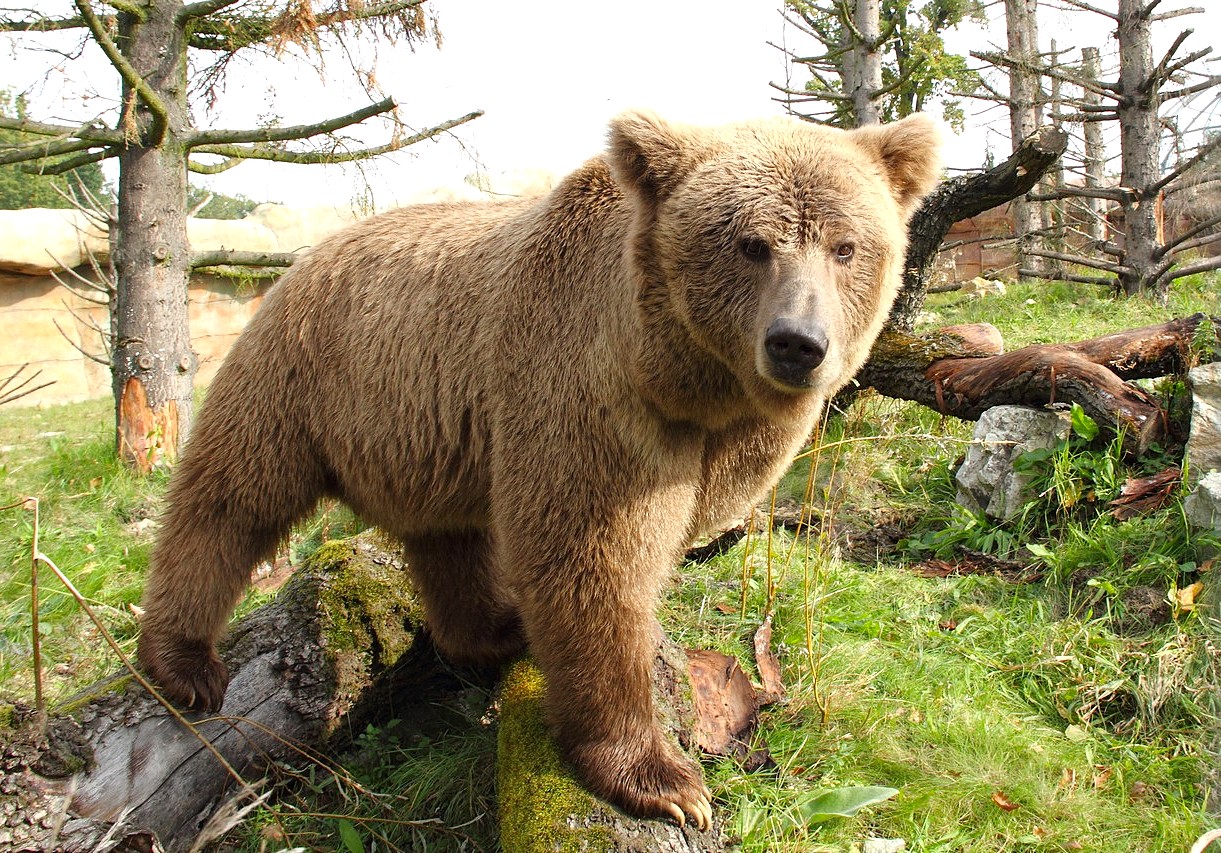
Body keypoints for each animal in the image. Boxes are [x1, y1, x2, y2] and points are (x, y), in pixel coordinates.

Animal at [137, 110, 942, 829]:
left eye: (845, 246)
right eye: (751, 244)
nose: (797, 343)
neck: (683, 380)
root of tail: (307, 252)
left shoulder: (718, 436)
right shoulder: (586, 389)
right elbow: (590, 559)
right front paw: (663, 779)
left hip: (422, 437)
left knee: (447, 537)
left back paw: (492, 629)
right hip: (303, 374)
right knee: (231, 497)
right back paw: (184, 662)